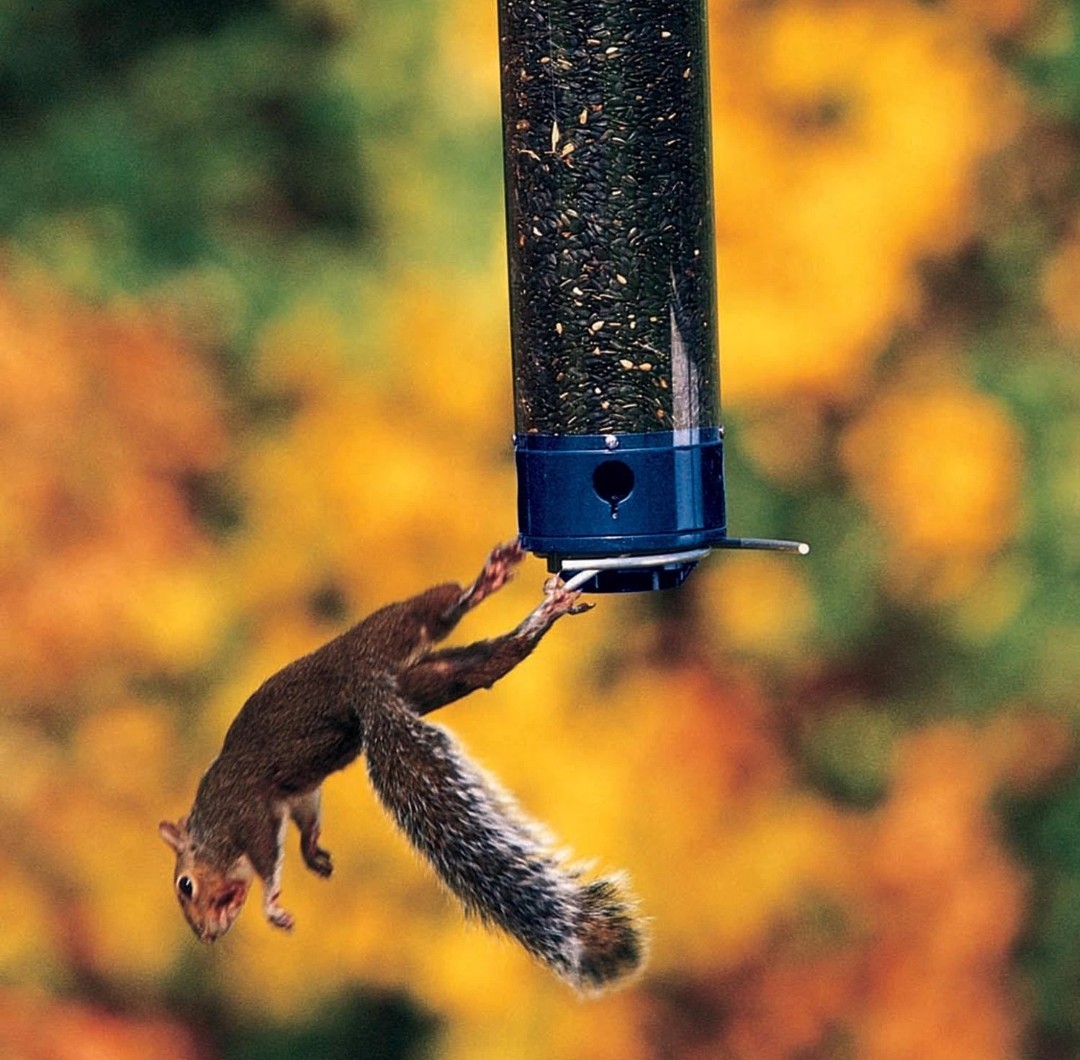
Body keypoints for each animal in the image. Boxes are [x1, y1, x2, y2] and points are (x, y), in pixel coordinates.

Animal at [159, 541, 646, 993]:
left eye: (185, 885)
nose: (207, 935)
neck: (211, 827)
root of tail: (366, 684)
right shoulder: (297, 794)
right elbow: (308, 816)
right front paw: (313, 854)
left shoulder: (247, 811)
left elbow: (267, 858)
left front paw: (272, 903)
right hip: (432, 678)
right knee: (490, 659)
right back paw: (541, 617)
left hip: (390, 631)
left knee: (441, 611)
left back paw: (487, 581)